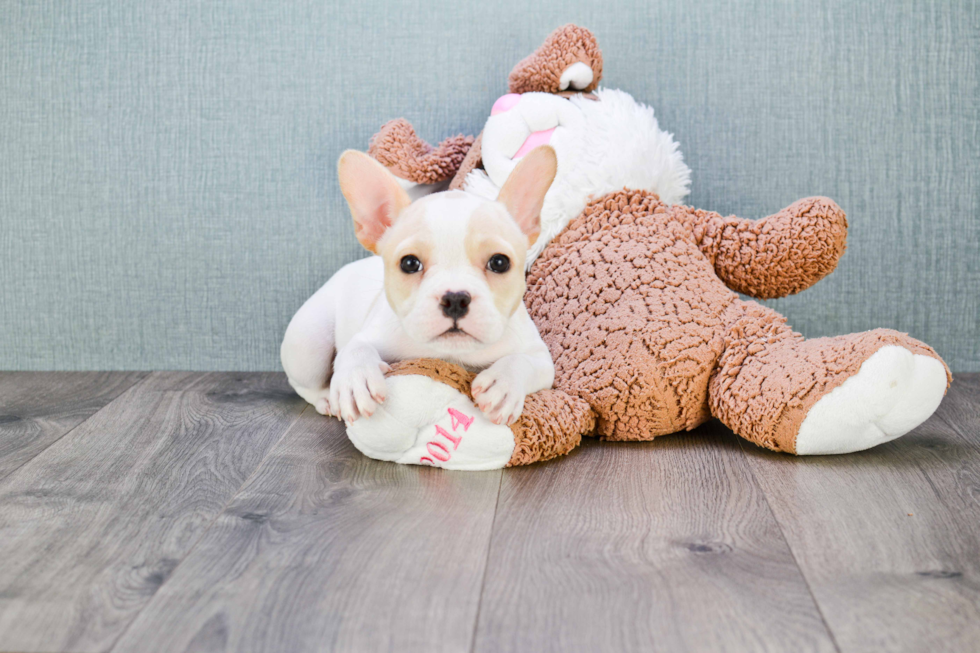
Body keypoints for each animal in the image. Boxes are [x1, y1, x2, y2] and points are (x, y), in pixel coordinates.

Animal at [284, 145, 560, 426]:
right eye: (409, 263)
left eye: (500, 262)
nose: (456, 298)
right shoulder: (369, 334)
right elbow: (356, 348)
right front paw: (356, 379)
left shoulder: (540, 358)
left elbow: (523, 362)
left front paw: (504, 384)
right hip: (308, 343)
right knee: (304, 383)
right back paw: (326, 397)